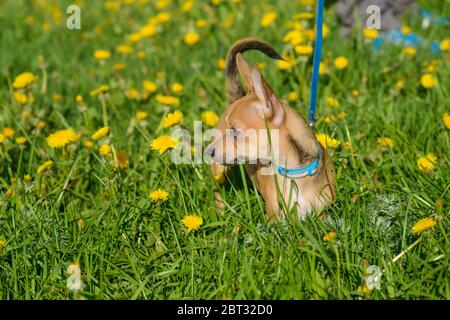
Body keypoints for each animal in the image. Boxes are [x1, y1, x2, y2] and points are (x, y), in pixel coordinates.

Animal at [207, 37, 334, 221]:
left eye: (235, 131)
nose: (208, 151)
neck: (294, 174)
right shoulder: (273, 218)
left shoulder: (323, 212)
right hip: (218, 171)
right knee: (217, 188)